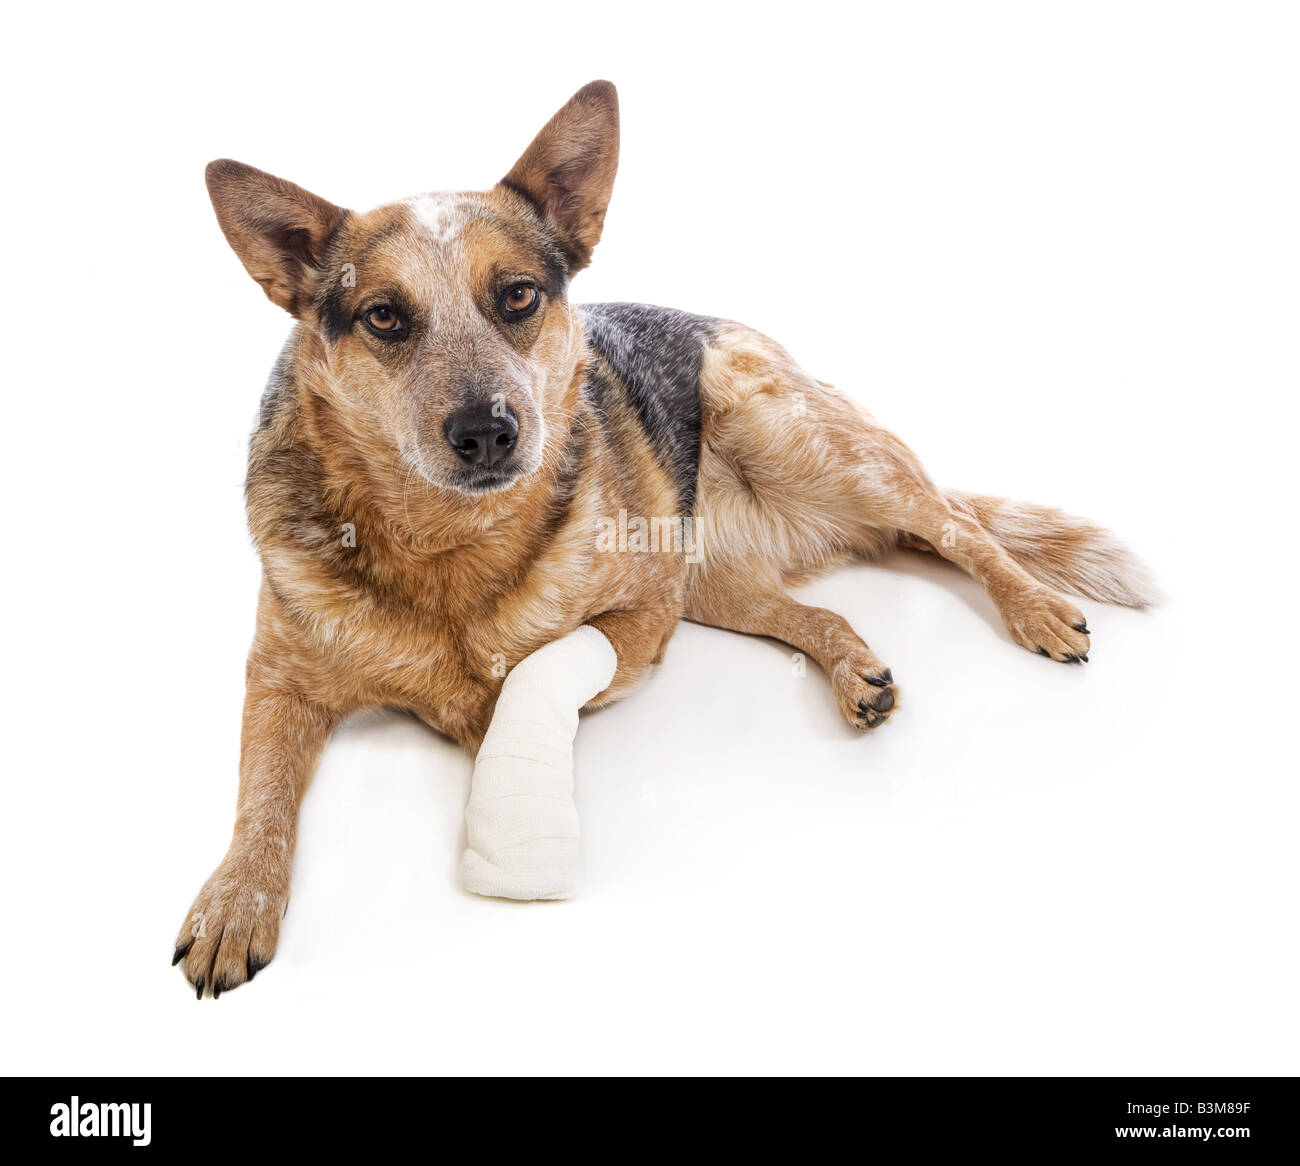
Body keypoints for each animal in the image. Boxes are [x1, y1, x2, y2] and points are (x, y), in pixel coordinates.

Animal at [175, 81, 1159, 998]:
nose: (490, 431)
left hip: (800, 441)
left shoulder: (641, 614)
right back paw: (854, 669)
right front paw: (233, 901)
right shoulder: (279, 676)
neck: (447, 544)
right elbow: (260, 795)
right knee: (822, 611)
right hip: (713, 580)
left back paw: (1036, 608)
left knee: (959, 528)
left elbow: (531, 671)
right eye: (383, 315)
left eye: (518, 296)